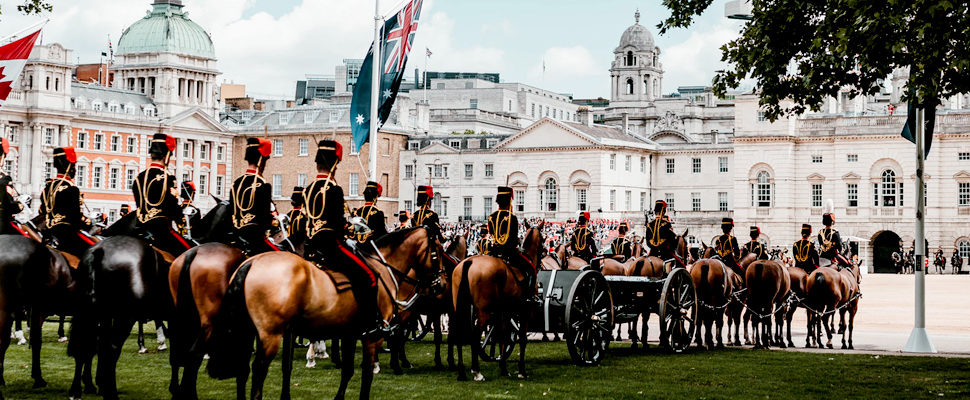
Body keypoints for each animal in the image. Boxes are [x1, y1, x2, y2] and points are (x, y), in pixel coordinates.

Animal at [165, 242, 244, 400]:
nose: (220, 374)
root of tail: (195, 251)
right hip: (208, 322)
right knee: (194, 354)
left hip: (178, 317)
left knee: (177, 354)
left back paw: (177, 390)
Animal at [205, 228, 446, 400]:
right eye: (437, 252)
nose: (441, 285)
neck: (384, 270)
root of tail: (252, 261)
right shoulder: (372, 337)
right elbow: (366, 377)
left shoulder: (350, 334)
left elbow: (348, 371)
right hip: (270, 335)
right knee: (258, 370)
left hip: (246, 331)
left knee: (242, 368)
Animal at [448, 223, 540, 382]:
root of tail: (469, 261)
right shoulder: (525, 313)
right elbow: (521, 339)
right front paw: (521, 370)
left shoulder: (503, 312)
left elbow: (501, 336)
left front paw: (503, 368)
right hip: (483, 313)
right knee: (474, 336)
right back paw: (476, 372)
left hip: (459, 309)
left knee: (458, 334)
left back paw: (461, 372)